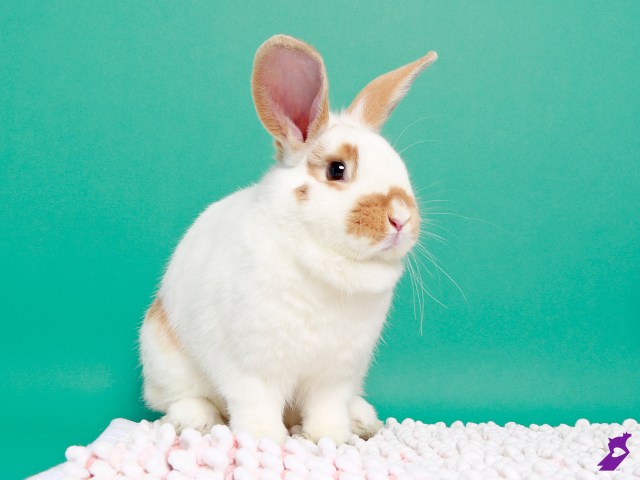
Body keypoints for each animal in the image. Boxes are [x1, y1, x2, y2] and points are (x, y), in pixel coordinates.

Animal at [139, 34, 437, 444]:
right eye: (337, 169)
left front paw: (330, 437)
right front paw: (264, 440)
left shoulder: (336, 375)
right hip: (164, 358)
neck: (329, 262)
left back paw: (361, 420)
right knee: (177, 399)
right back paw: (197, 420)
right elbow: (257, 404)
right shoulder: (253, 368)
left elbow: (326, 407)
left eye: (400, 167)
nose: (400, 218)